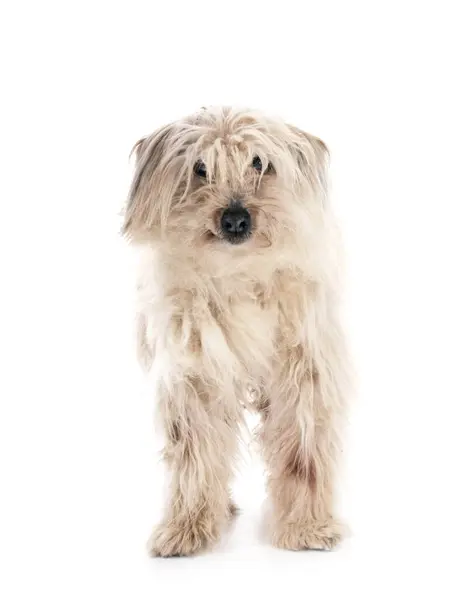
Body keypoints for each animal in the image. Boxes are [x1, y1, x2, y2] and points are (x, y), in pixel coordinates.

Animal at [122, 105, 350, 556]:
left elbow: (303, 456)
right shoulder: (193, 379)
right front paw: (187, 527)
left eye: (260, 163)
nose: (235, 219)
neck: (238, 272)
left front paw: (307, 526)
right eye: (200, 168)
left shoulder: (303, 375)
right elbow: (194, 456)